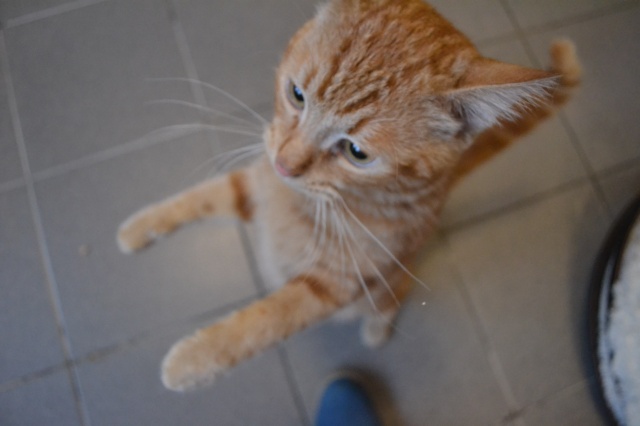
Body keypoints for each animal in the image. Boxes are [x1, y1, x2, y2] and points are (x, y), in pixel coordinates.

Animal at [117, 0, 581, 392]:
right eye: (296, 95)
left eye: (357, 153)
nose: (285, 164)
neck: (307, 202)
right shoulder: (256, 186)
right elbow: (205, 195)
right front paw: (139, 227)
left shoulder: (333, 285)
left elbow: (266, 320)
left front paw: (191, 360)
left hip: (388, 284)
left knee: (390, 302)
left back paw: (376, 330)